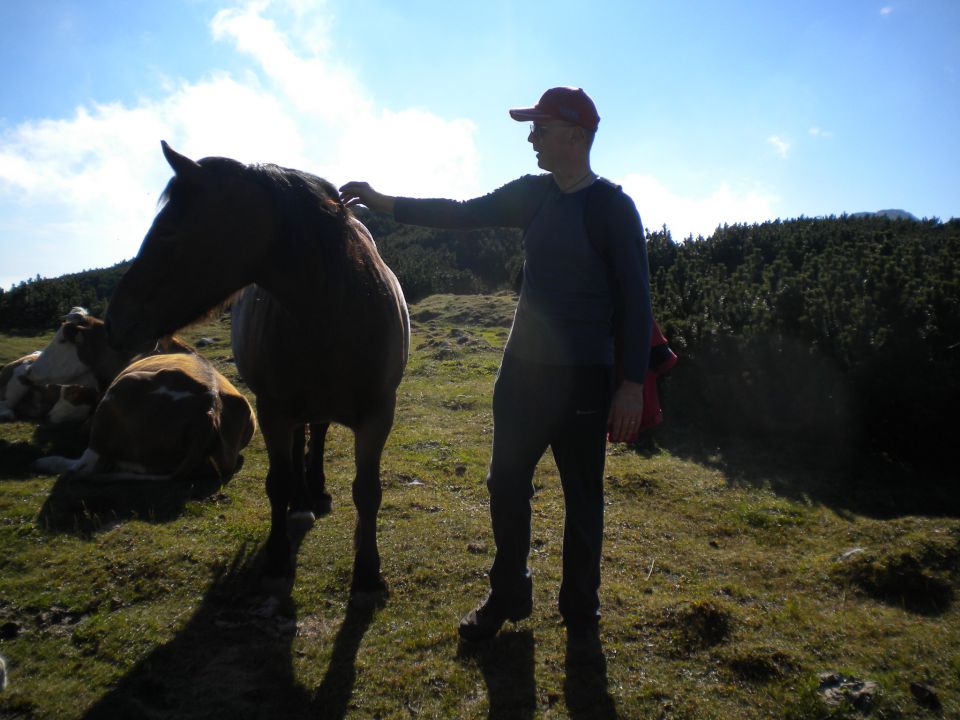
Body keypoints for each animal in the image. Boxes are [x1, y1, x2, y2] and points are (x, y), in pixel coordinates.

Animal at [36, 352, 256, 480]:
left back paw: (49, 462)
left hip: (124, 386)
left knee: (85, 465)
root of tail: (209, 408)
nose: (46, 417)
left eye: (69, 394)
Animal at [108, 139, 408, 596]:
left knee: (317, 433)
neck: (337, 311)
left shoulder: (378, 413)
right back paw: (304, 500)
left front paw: (368, 572)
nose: (116, 321)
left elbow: (368, 490)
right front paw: (278, 555)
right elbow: (278, 482)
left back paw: (316, 490)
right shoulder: (272, 410)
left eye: (169, 230)